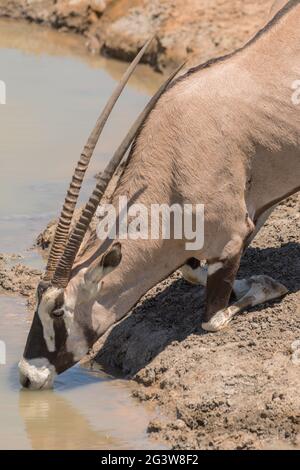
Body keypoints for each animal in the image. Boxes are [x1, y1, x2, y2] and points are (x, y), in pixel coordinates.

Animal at [19, 0, 298, 390]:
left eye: (58, 311)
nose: (28, 375)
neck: (175, 168)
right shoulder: (243, 221)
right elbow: (191, 273)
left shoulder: (231, 238)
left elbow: (212, 320)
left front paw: (269, 286)